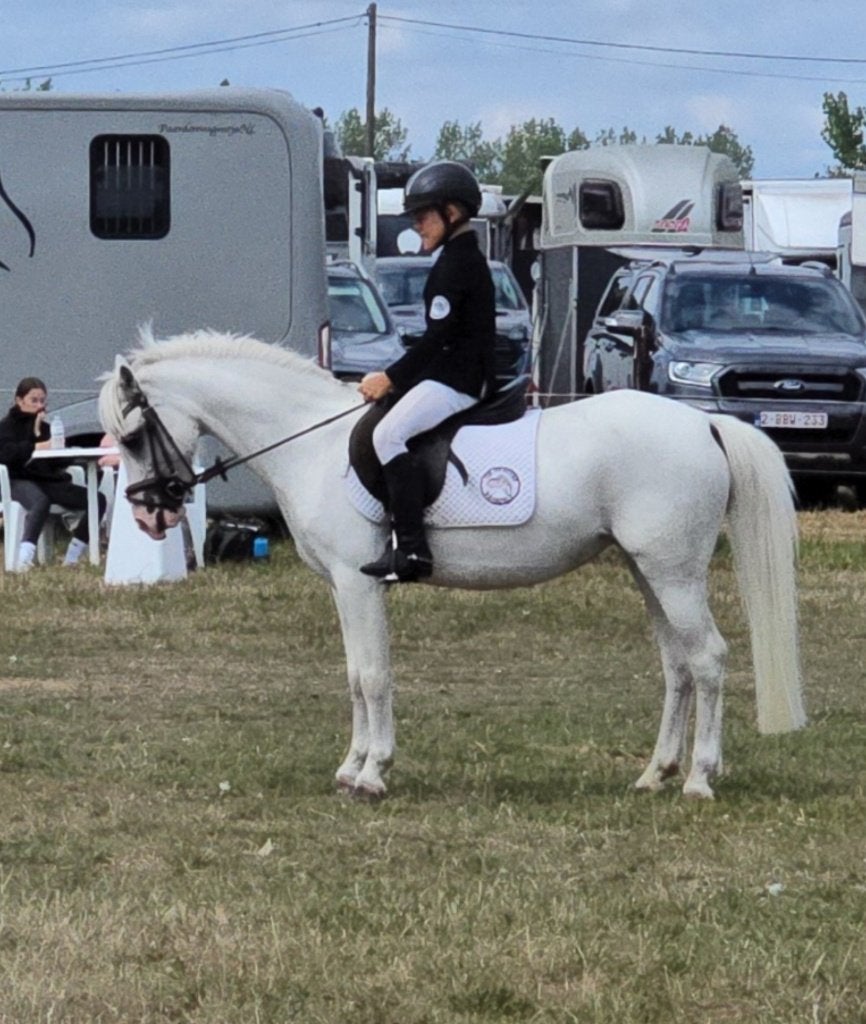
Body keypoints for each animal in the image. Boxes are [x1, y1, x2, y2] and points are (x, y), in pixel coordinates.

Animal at [98, 327, 805, 800]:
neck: (311, 444)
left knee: (707, 659)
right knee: (677, 666)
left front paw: (372, 773)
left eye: (132, 437)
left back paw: (699, 780)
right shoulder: (344, 590)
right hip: (647, 569)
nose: (149, 519)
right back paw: (654, 774)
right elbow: (354, 675)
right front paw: (351, 766)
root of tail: (704, 425)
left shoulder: (359, 584)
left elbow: (373, 676)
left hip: (672, 570)